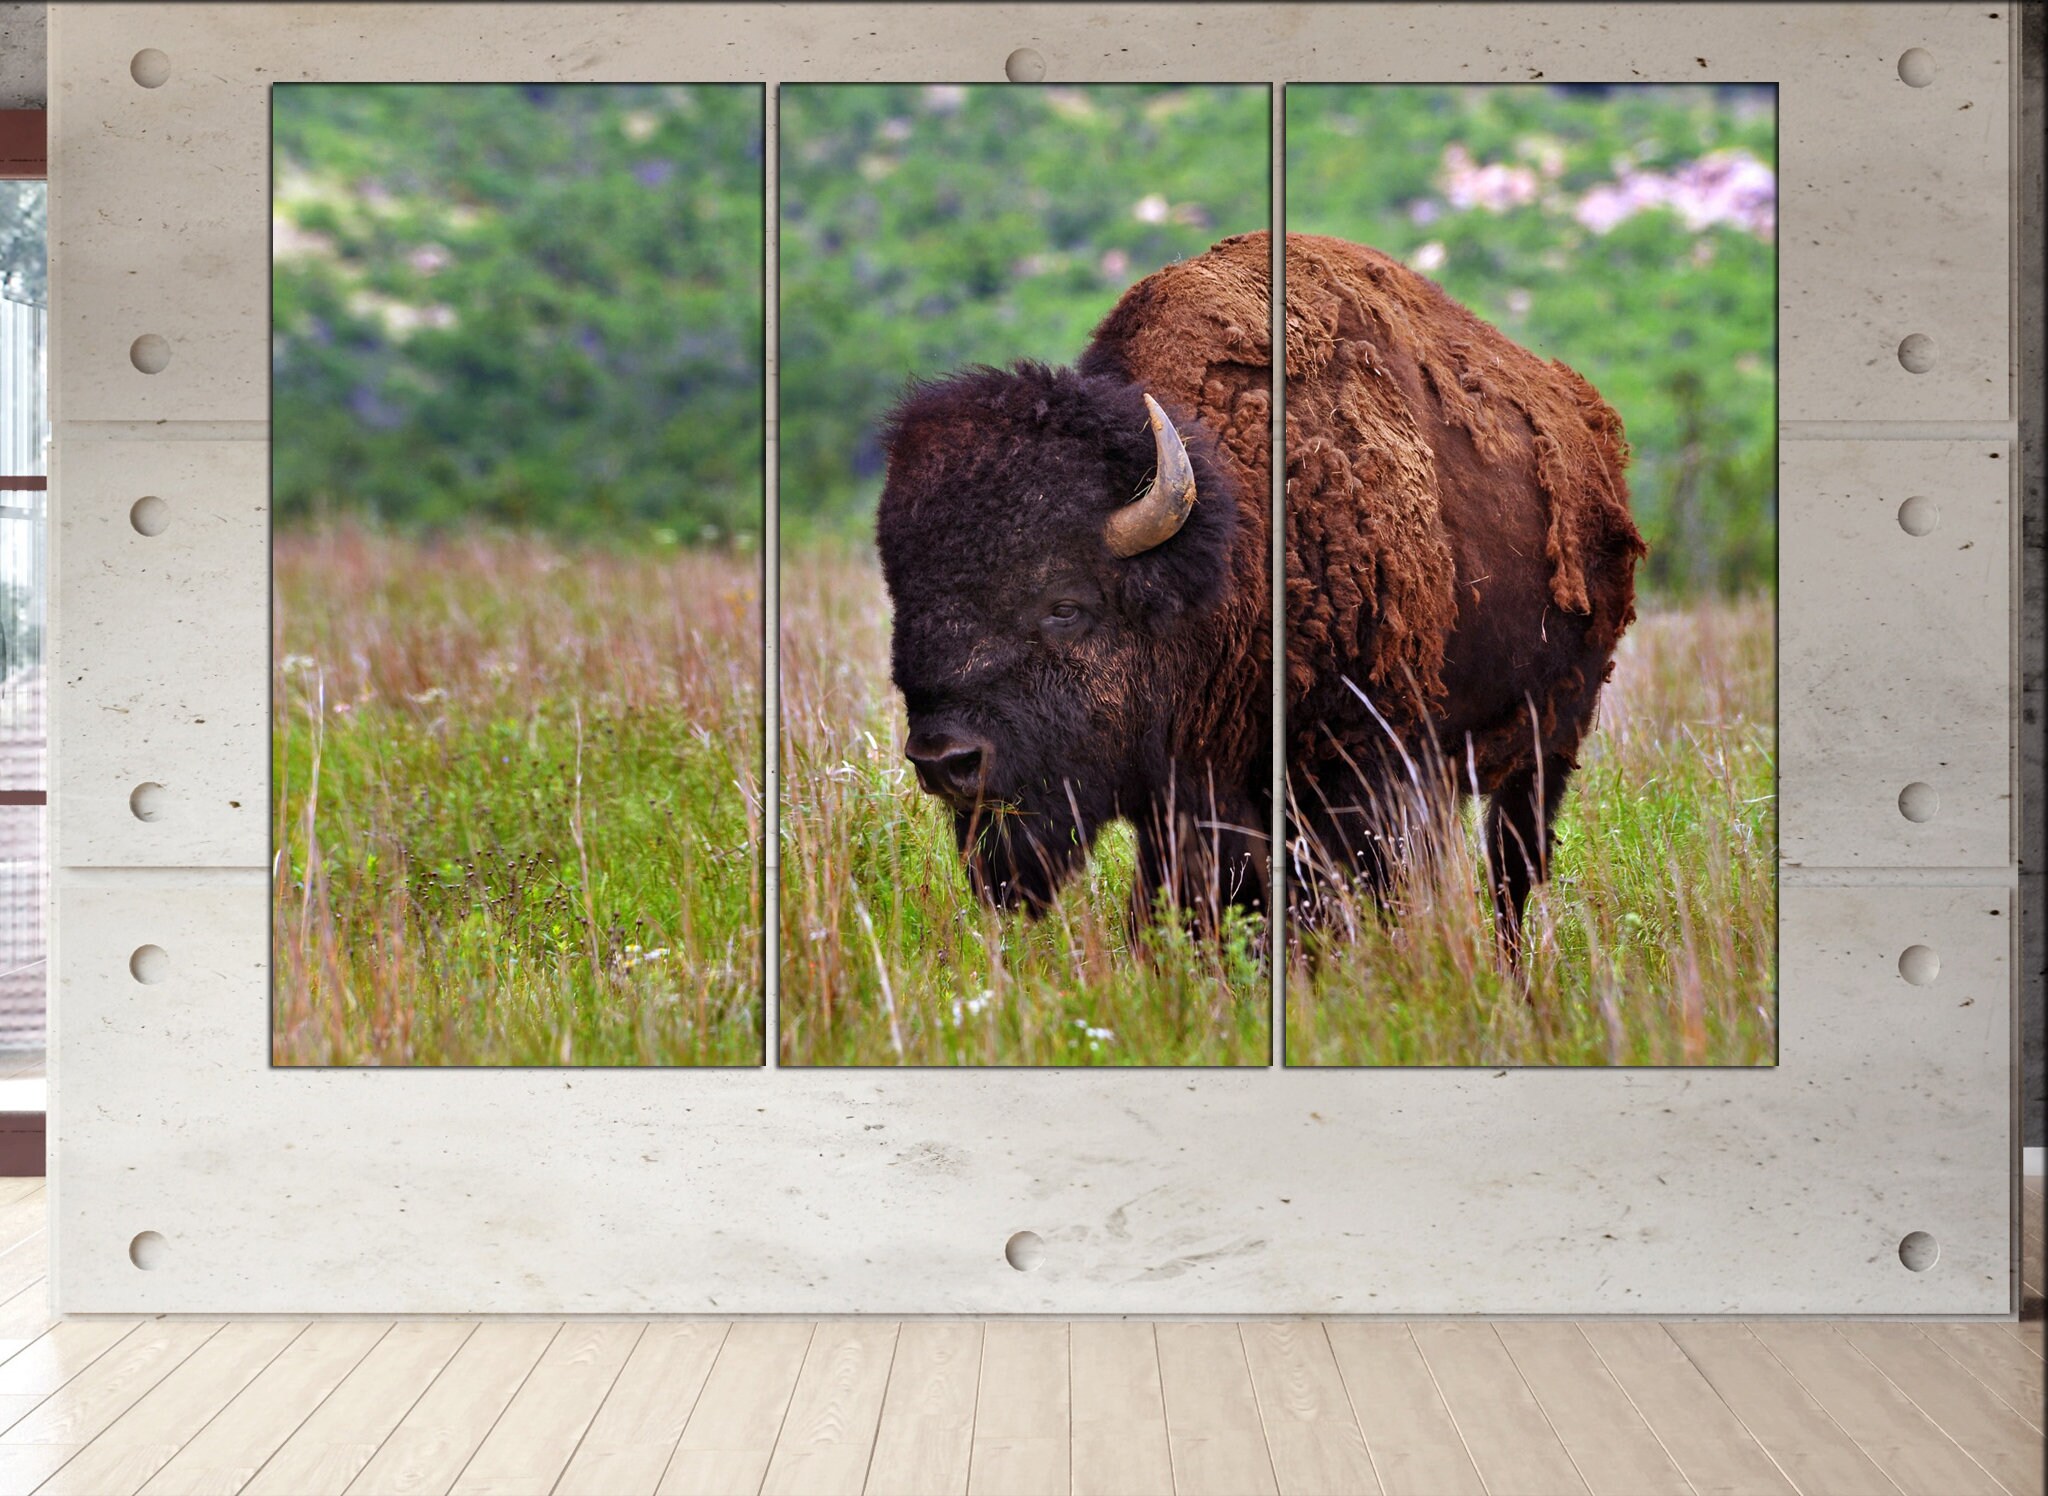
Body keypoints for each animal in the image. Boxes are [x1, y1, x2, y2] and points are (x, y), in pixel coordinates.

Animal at [874, 231, 1644, 950]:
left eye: (1065, 606)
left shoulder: (1360, 772)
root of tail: (1590, 427)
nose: (945, 760)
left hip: (1550, 740)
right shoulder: (1188, 795)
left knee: (1512, 872)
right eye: (905, 602)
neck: (1234, 547)